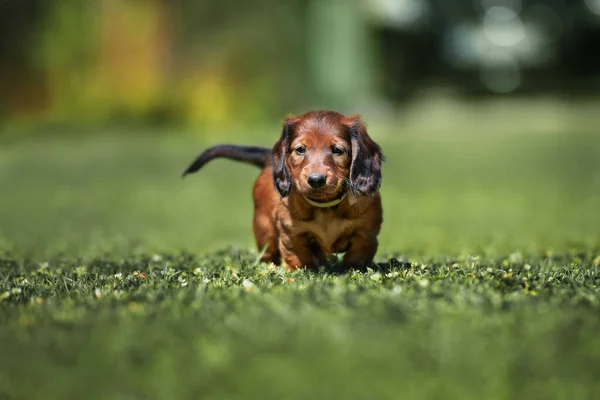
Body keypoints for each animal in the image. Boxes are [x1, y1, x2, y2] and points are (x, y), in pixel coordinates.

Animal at [180, 110, 384, 268]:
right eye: (300, 149)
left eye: (337, 150)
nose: (316, 180)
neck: (324, 208)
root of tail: (269, 159)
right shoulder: (291, 233)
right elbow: (298, 257)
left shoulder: (366, 234)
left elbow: (357, 255)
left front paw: (352, 269)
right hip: (265, 230)